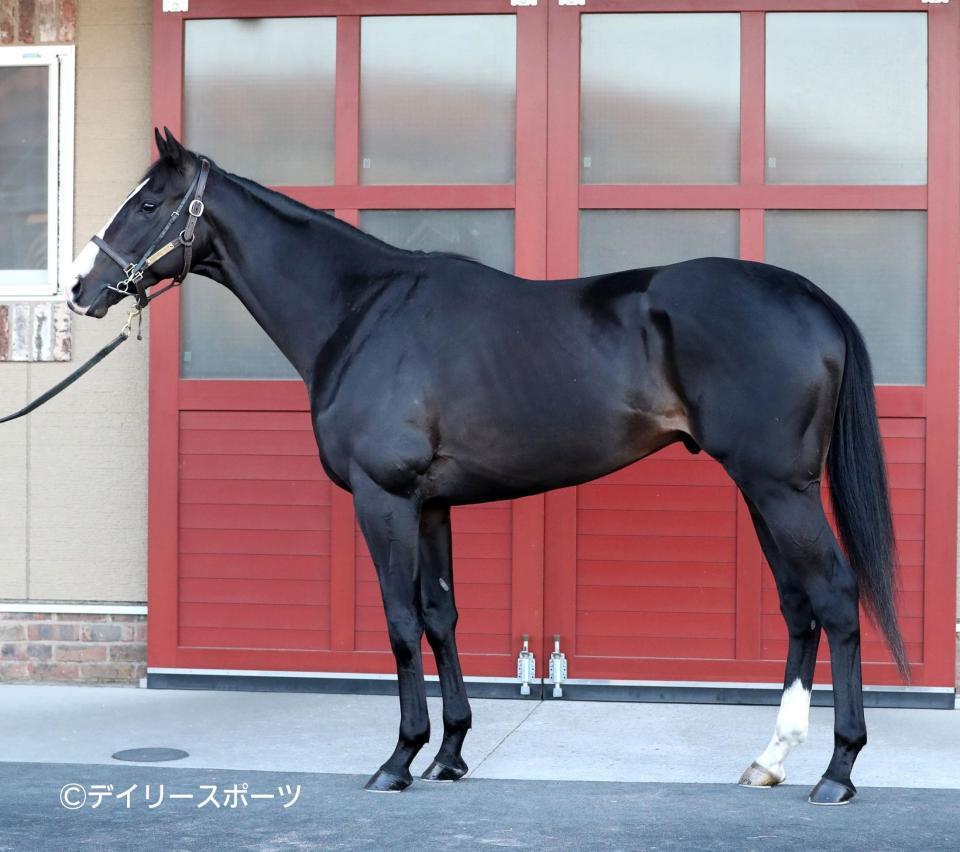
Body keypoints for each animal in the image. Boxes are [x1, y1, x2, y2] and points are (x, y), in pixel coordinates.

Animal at [69, 128, 908, 804]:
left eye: (148, 203)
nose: (80, 289)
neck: (361, 311)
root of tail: (811, 299)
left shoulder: (383, 499)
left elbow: (401, 623)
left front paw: (399, 760)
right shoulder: (431, 505)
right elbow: (441, 618)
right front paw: (450, 754)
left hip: (780, 489)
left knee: (835, 600)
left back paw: (838, 772)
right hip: (766, 491)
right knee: (799, 608)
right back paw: (771, 760)